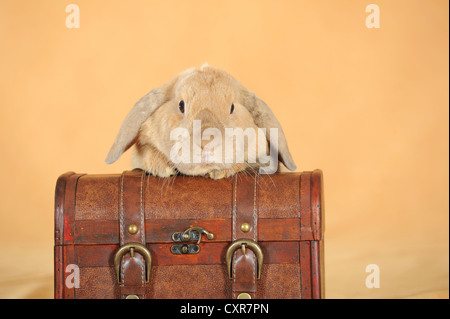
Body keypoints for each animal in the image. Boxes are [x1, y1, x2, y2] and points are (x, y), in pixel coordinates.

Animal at [103, 64, 298, 180]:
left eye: (232, 108)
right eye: (181, 105)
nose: (206, 143)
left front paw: (219, 172)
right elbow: (148, 153)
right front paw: (166, 168)